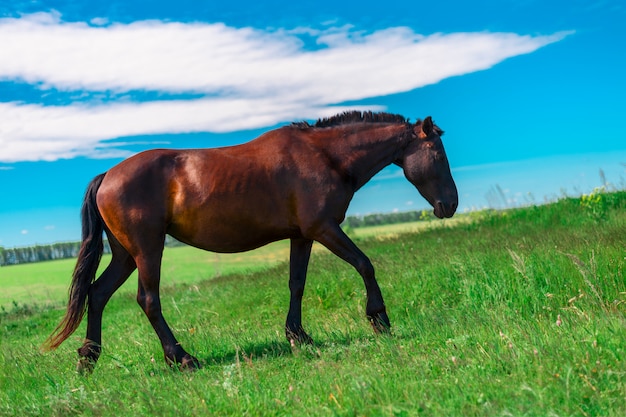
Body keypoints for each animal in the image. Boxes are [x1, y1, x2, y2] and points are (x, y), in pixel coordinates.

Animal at [42, 109, 454, 370]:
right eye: (438, 155)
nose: (450, 204)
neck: (325, 156)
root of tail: (108, 175)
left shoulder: (302, 236)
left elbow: (297, 283)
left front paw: (298, 336)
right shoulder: (324, 229)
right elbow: (365, 264)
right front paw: (379, 318)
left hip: (126, 254)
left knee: (97, 294)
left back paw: (88, 358)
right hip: (147, 250)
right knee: (148, 300)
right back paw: (182, 358)